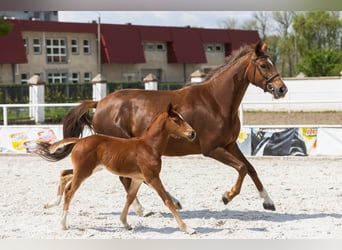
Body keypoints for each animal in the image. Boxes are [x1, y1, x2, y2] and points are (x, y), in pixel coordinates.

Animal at [36, 103, 196, 234]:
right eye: (176, 120)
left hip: (90, 169)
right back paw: (62, 224)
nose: (192, 133)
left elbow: (129, 198)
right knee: (69, 191)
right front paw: (187, 228)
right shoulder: (152, 177)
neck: (149, 147)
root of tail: (80, 140)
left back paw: (50, 204)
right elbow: (167, 201)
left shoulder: (138, 178)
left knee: (64, 173)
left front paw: (125, 223)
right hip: (83, 172)